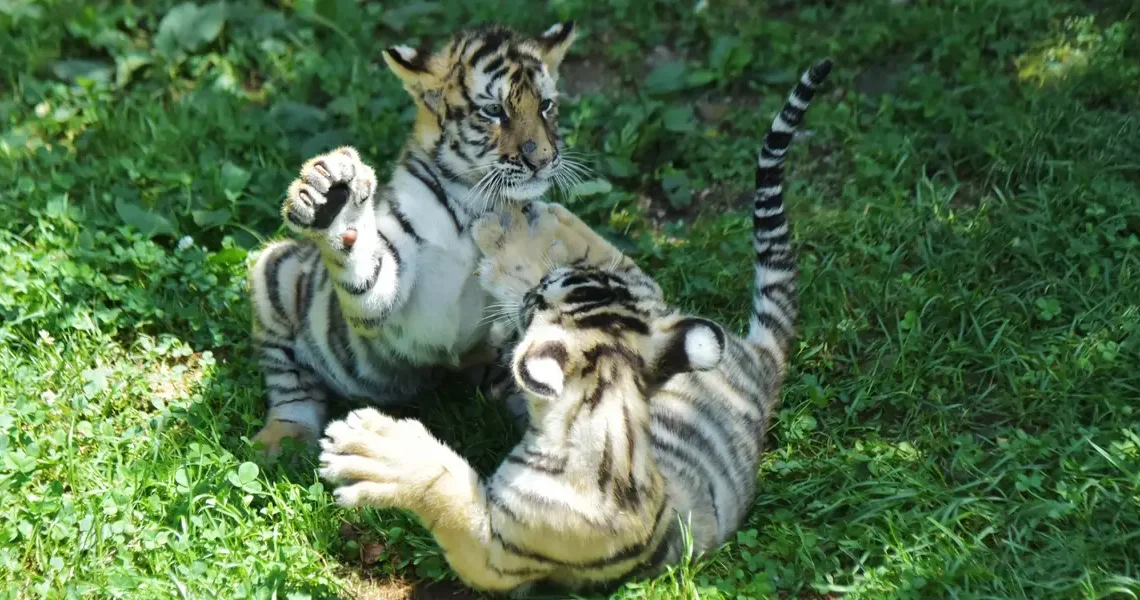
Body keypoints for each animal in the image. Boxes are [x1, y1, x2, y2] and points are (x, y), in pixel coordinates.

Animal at [247, 22, 579, 454]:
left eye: (546, 106)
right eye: (494, 111)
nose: (542, 159)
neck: (474, 202)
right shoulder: (388, 284)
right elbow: (367, 277)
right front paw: (336, 205)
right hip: (276, 274)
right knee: (290, 380)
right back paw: (283, 437)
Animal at [316, 59, 833, 592]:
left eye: (536, 305)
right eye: (550, 288)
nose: (532, 292)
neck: (608, 412)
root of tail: (763, 364)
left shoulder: (497, 551)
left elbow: (445, 483)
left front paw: (368, 449)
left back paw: (506, 221)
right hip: (655, 307)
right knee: (626, 263)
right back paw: (523, 215)